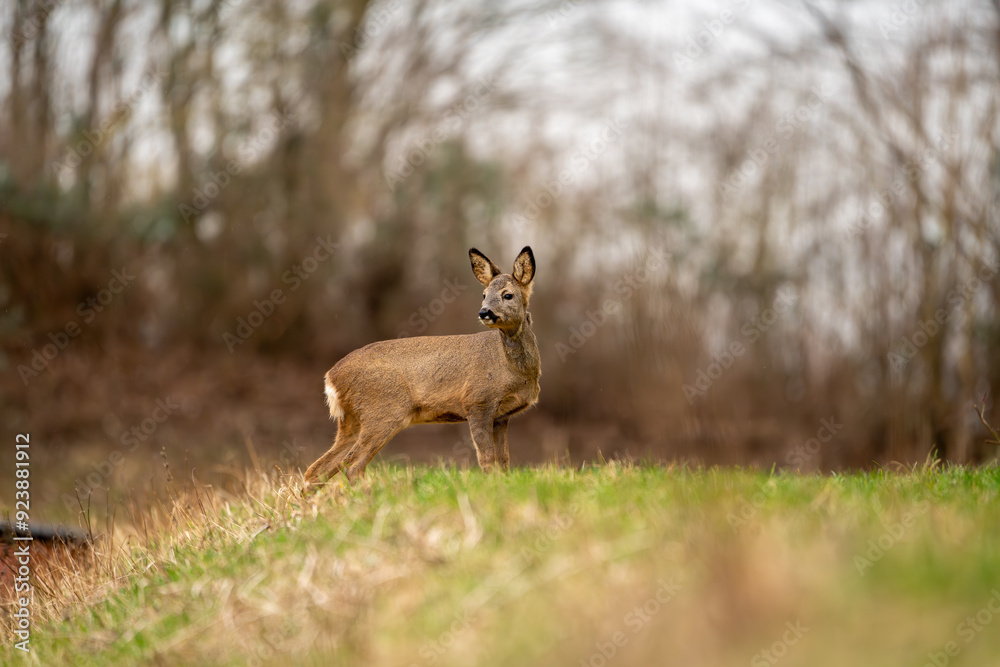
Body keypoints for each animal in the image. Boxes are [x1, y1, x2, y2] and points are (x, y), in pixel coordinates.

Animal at [303, 246, 540, 486]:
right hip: (382, 412)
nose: (484, 312)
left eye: (507, 295)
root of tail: (331, 377)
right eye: (484, 294)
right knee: (352, 466)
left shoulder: (502, 416)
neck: (512, 370)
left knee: (317, 469)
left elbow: (504, 462)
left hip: (351, 421)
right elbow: (487, 460)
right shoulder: (477, 402)